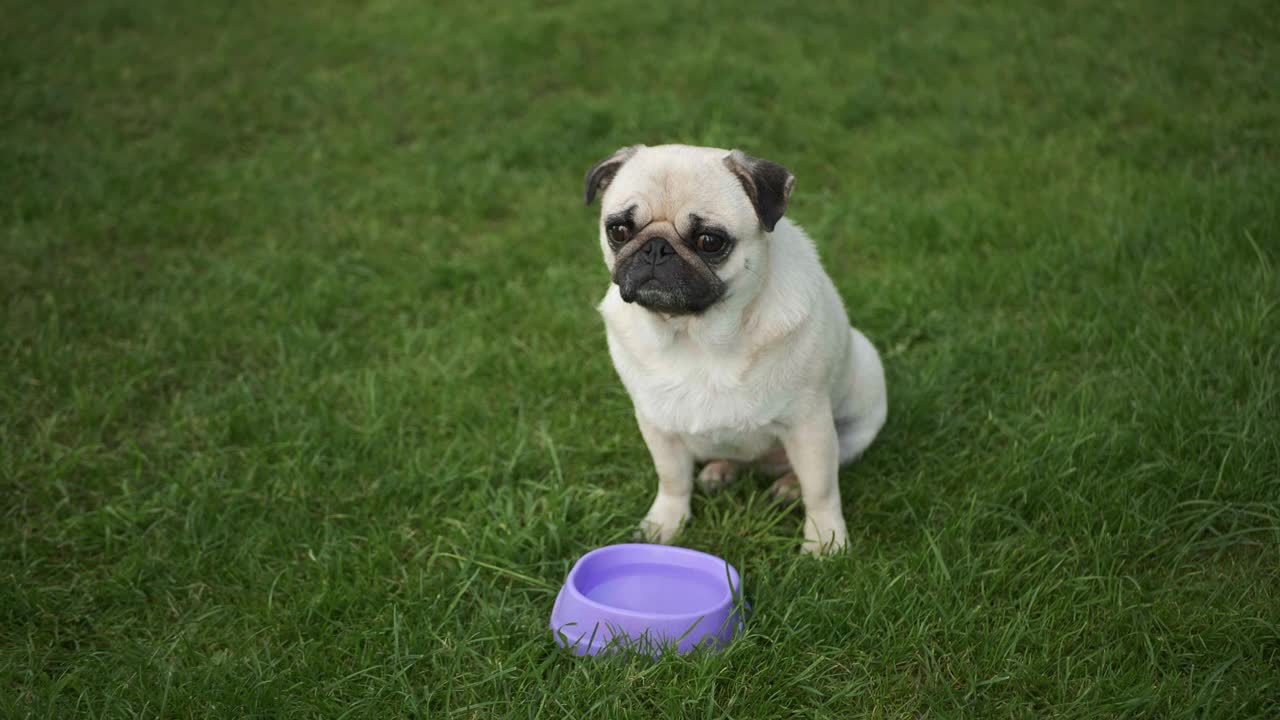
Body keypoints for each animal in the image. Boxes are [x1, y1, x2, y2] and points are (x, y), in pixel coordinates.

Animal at [586, 142, 885, 550]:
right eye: (618, 230)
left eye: (709, 241)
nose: (656, 249)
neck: (694, 334)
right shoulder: (657, 424)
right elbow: (672, 479)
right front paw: (665, 523)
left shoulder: (809, 424)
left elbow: (821, 488)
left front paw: (825, 541)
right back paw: (720, 471)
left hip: (861, 402)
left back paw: (788, 486)